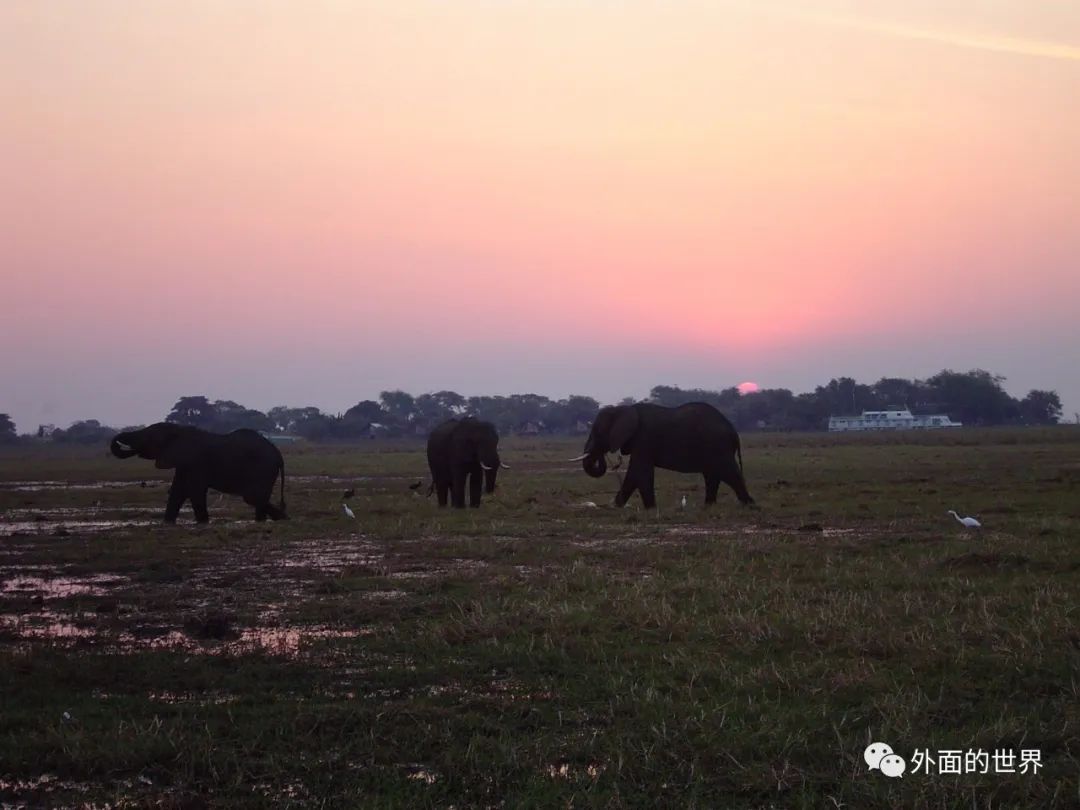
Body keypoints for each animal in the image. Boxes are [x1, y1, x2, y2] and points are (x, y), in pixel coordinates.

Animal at [110, 421, 287, 522]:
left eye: (149, 437)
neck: (179, 430)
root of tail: (278, 454)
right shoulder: (184, 463)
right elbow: (177, 492)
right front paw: (167, 523)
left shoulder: (195, 462)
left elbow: (194, 491)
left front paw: (203, 523)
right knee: (256, 498)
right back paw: (274, 519)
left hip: (263, 469)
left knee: (252, 497)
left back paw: (278, 519)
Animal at [570, 403, 756, 509]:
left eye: (597, 432)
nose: (613, 460)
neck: (624, 409)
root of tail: (734, 432)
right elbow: (637, 474)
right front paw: (617, 506)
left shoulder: (644, 439)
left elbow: (639, 472)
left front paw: (649, 508)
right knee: (713, 475)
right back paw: (708, 506)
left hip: (718, 447)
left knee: (729, 473)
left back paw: (749, 504)